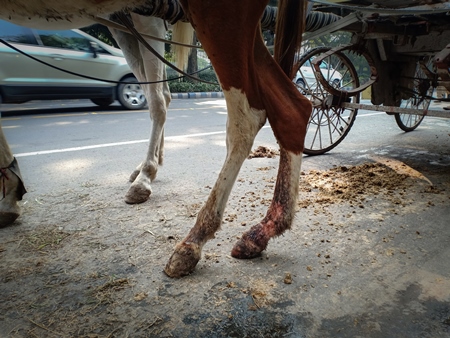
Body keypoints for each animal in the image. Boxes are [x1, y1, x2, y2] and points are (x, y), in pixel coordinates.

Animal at [0, 0, 312, 278]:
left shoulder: (147, 21)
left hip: (217, 12)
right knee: (293, 108)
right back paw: (262, 232)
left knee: (246, 118)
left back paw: (194, 240)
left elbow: (157, 99)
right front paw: (10, 193)